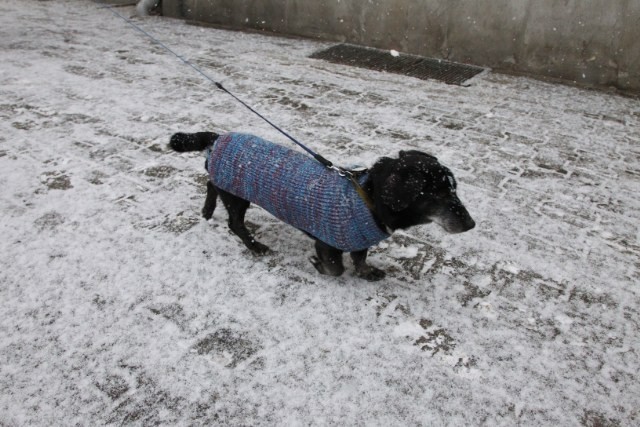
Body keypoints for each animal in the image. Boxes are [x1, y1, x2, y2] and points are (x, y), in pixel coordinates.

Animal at [170, 133, 476, 280]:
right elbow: (335, 268)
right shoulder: (327, 242)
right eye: (439, 195)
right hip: (237, 197)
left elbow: (360, 259)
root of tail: (218, 137)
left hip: (227, 188)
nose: (471, 224)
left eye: (455, 189)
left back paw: (207, 210)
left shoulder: (359, 240)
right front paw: (318, 265)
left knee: (210, 184)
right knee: (235, 223)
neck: (368, 198)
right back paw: (255, 245)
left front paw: (367, 273)